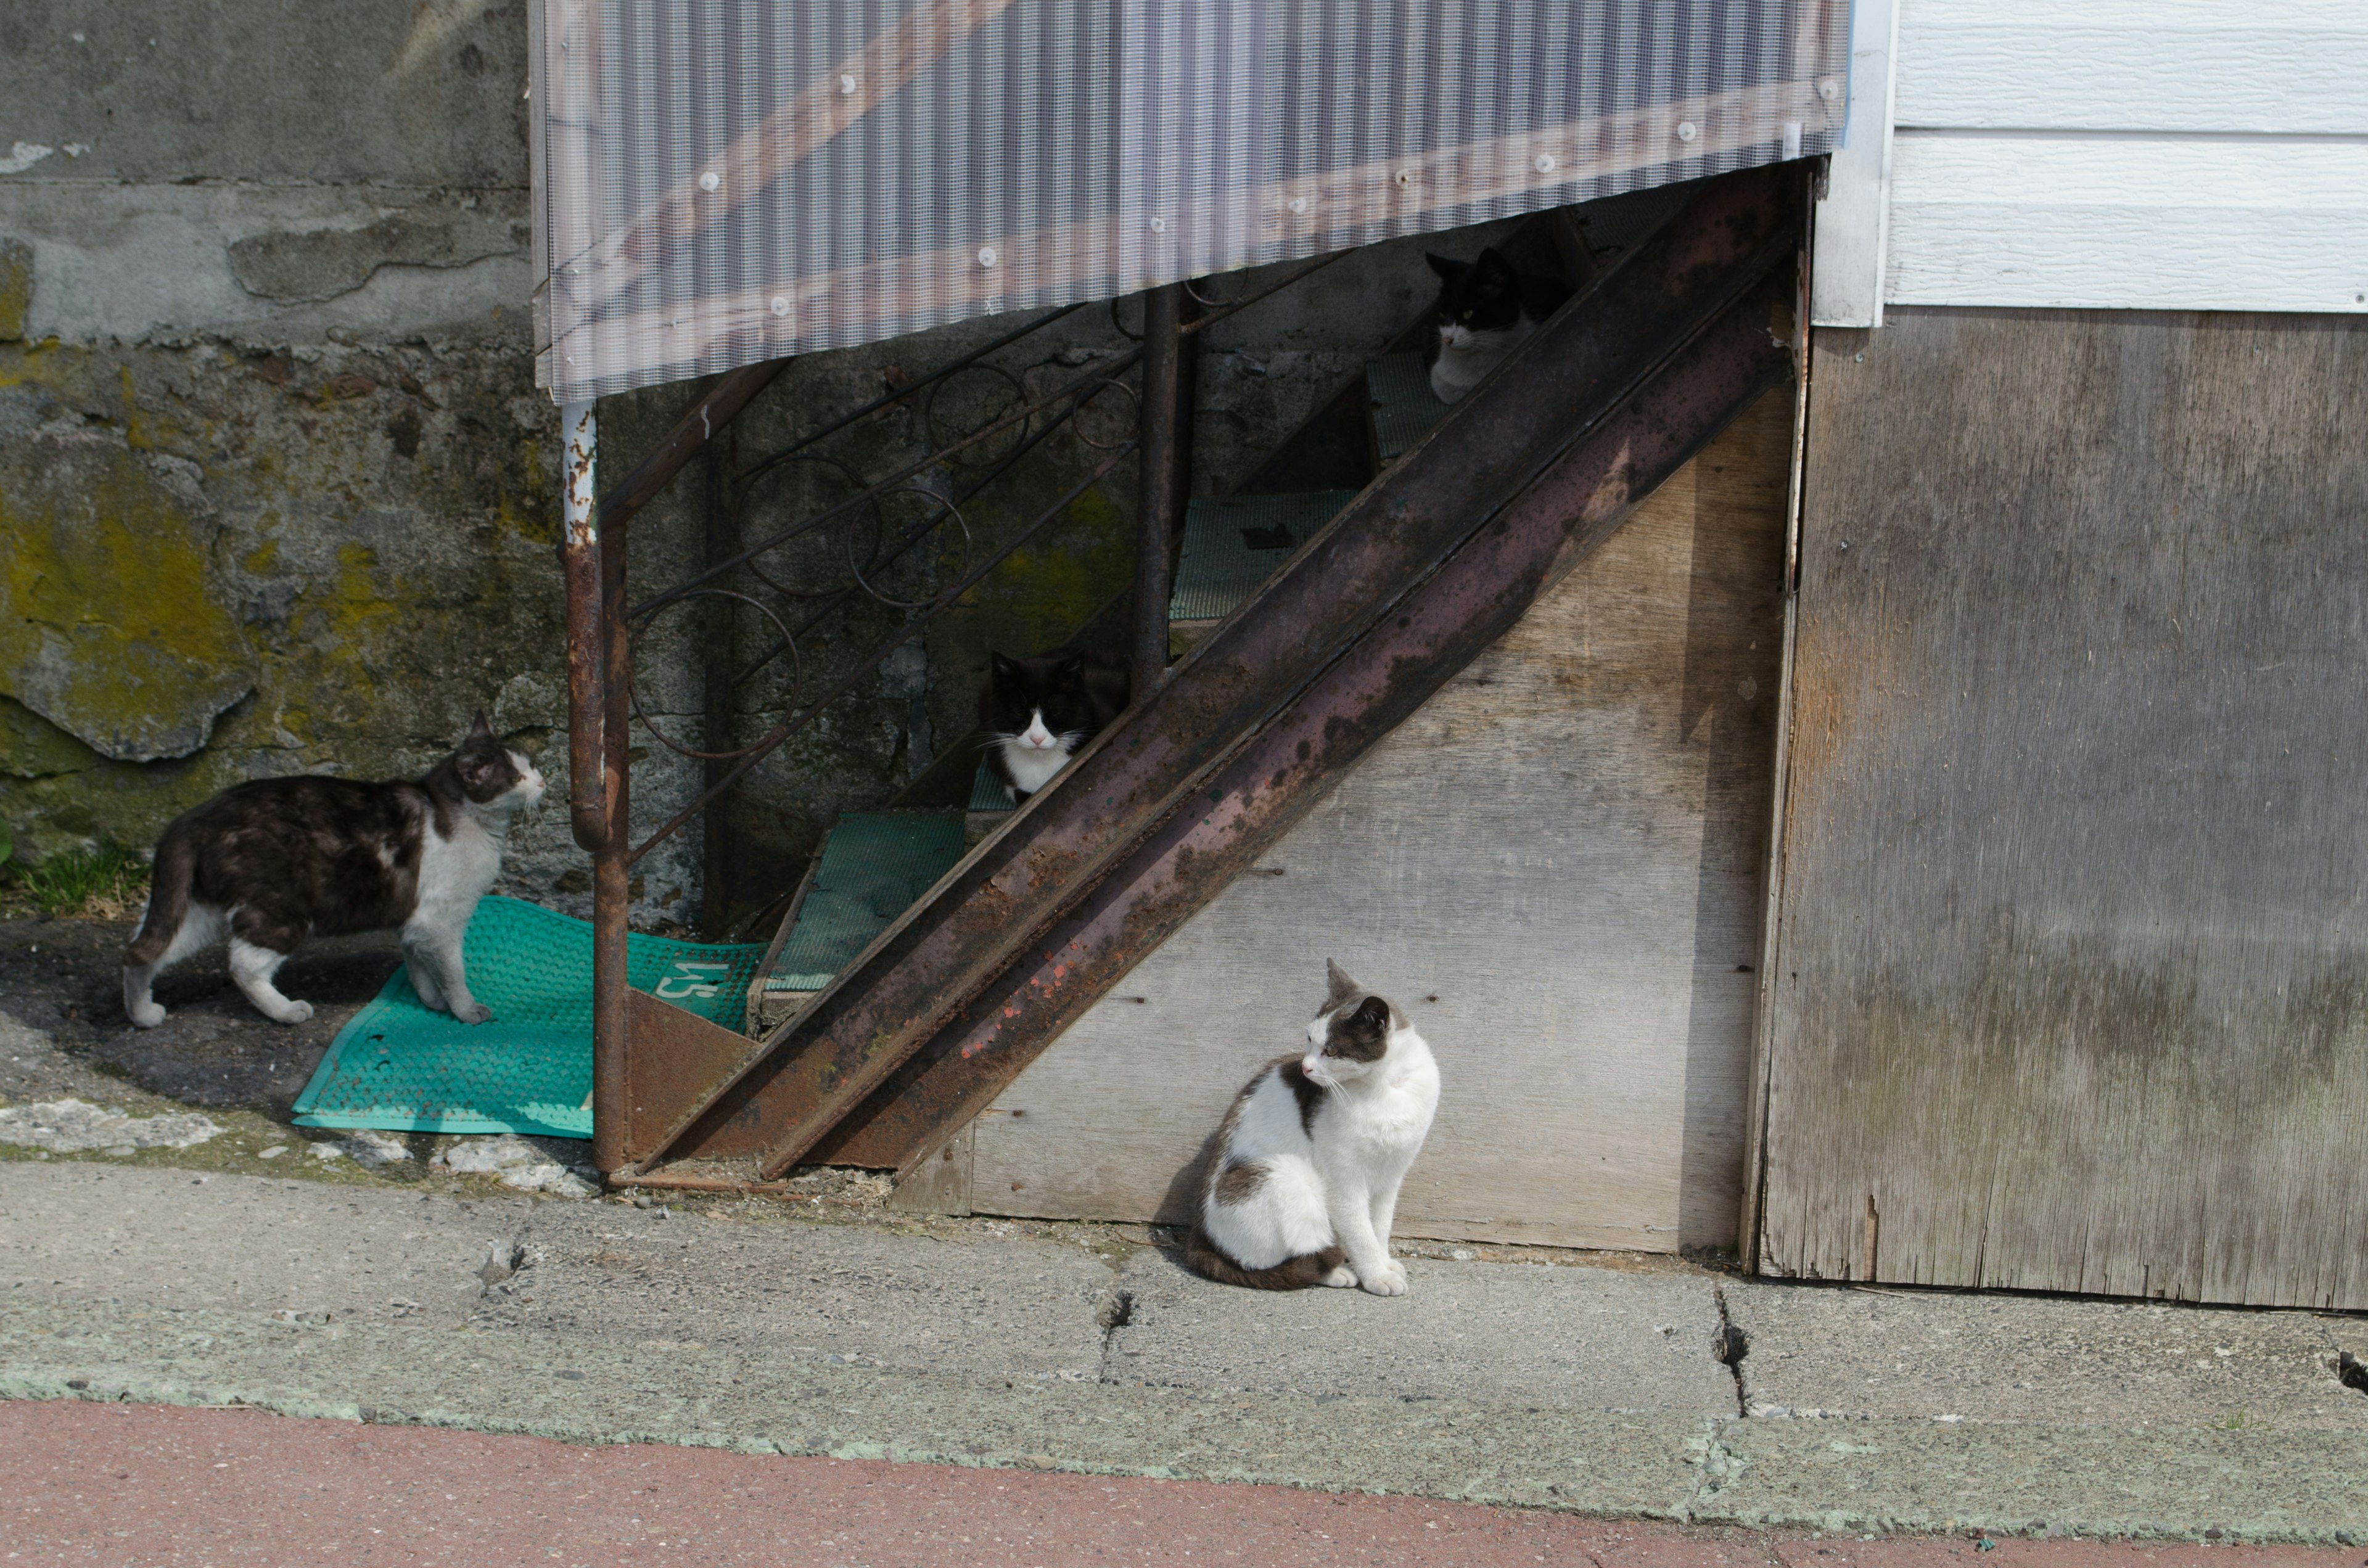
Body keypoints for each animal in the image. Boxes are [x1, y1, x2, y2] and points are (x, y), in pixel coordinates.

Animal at [125, 710, 545, 1032]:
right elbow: (452, 971)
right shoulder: (440, 922)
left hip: (198, 913)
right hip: (282, 912)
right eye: (516, 778)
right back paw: (287, 1011)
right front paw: (466, 1010)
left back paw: (142, 1014)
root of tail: (196, 818)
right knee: (242, 966)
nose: (543, 782)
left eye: (531, 765)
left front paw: (431, 1001)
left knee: (141, 952)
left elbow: (419, 966)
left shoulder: (416, 923)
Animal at [1184, 956, 1439, 1298]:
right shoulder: (1344, 1182)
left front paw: (1384, 1262)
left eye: (1330, 1050)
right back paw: (1336, 1272)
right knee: (1279, 1261)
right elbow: (1361, 1233)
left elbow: (1380, 1226)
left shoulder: (1391, 1175)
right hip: (1285, 1175)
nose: (1305, 1068)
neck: (1385, 1088)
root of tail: (1201, 1236)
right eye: (1309, 1040)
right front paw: (1376, 1275)